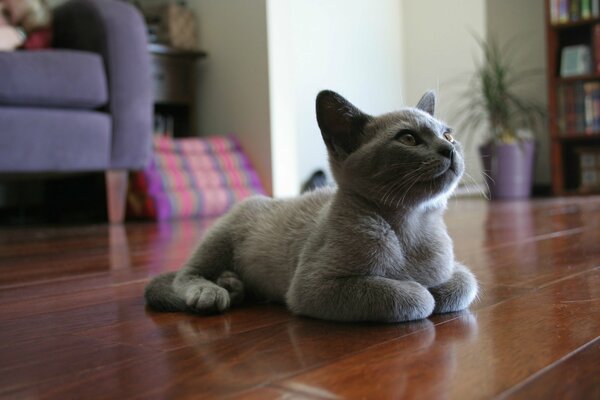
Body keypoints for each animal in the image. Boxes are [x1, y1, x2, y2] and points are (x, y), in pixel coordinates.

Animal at [145, 90, 478, 322]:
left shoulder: (455, 269)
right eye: (408, 139)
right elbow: (409, 295)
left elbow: (464, 284)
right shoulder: (314, 286)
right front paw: (421, 292)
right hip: (220, 238)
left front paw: (435, 288)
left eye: (448, 134)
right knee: (186, 274)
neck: (411, 225)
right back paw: (212, 291)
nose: (448, 149)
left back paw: (233, 284)